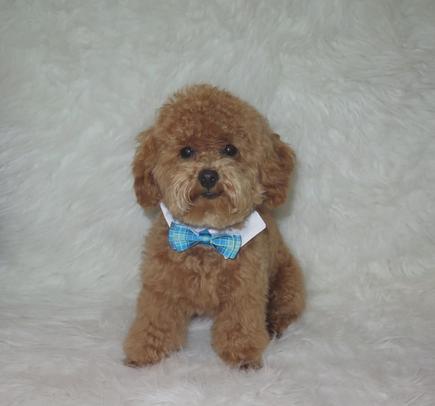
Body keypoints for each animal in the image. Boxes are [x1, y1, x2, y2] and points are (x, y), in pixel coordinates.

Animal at [124, 84, 304, 369]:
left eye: (230, 149)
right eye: (186, 151)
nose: (208, 175)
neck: (206, 235)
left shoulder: (246, 289)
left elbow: (241, 323)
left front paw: (243, 354)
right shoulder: (161, 285)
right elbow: (155, 319)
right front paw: (145, 350)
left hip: (289, 281)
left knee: (286, 308)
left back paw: (273, 325)